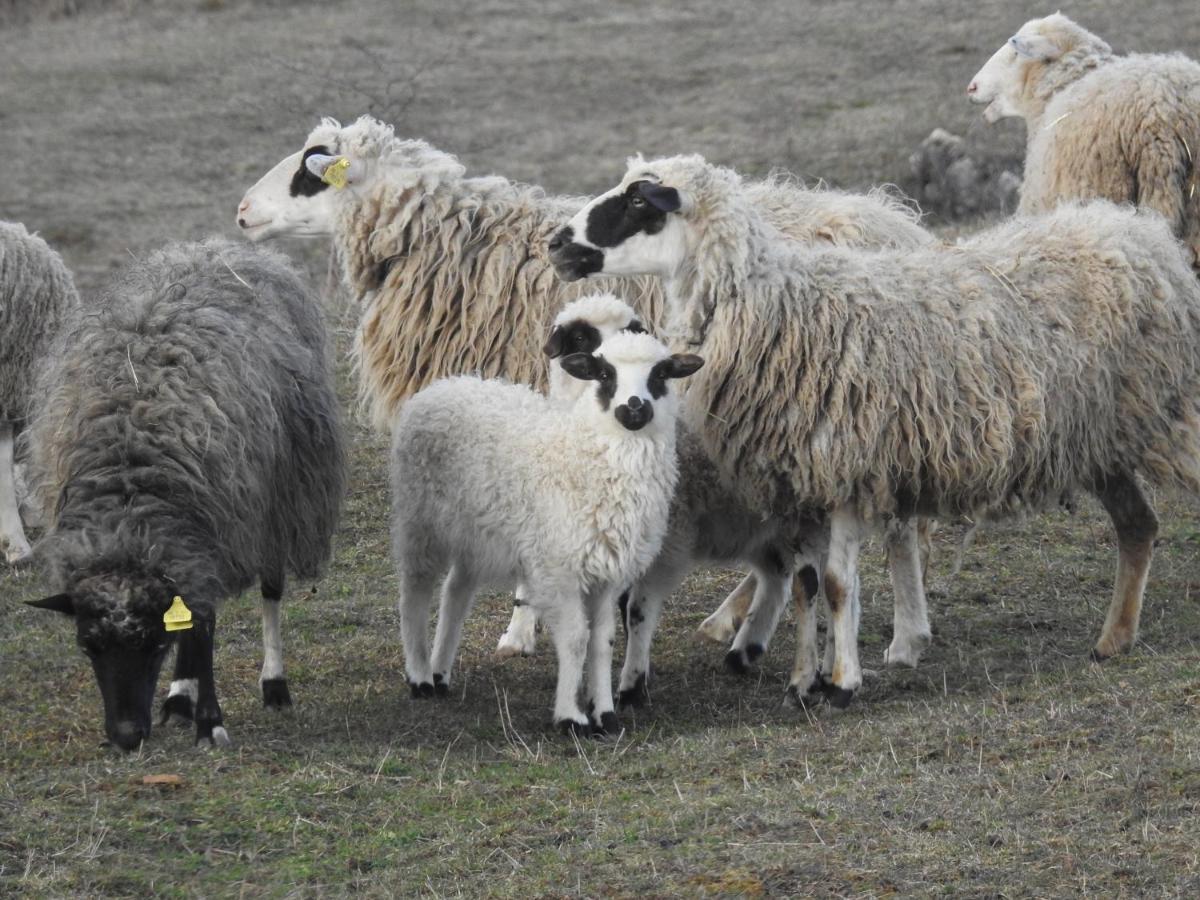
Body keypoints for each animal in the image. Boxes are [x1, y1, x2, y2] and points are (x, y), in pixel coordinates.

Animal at [22, 236, 348, 748]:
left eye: (154, 642)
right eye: (87, 646)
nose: (126, 737)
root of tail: (219, 247)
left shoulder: (219, 525)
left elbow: (204, 626)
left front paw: (210, 721)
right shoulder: (187, 546)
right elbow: (195, 624)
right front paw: (187, 700)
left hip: (278, 503)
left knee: (267, 593)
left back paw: (271, 684)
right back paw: (179, 695)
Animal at [388, 328, 700, 734]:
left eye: (661, 374)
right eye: (604, 375)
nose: (633, 407)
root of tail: (444, 385)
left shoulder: (606, 573)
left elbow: (603, 641)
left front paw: (604, 713)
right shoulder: (558, 570)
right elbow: (575, 639)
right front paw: (570, 716)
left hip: (475, 535)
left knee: (455, 592)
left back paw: (441, 673)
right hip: (420, 521)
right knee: (415, 592)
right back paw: (420, 676)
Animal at [549, 153, 1200, 710]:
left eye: (640, 201)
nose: (557, 244)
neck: (769, 306)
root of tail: (1136, 231)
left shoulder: (844, 466)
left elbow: (837, 585)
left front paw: (842, 683)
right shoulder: (807, 483)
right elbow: (807, 584)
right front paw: (806, 680)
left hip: (1159, 416)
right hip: (1100, 439)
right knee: (1138, 525)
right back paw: (1113, 640)